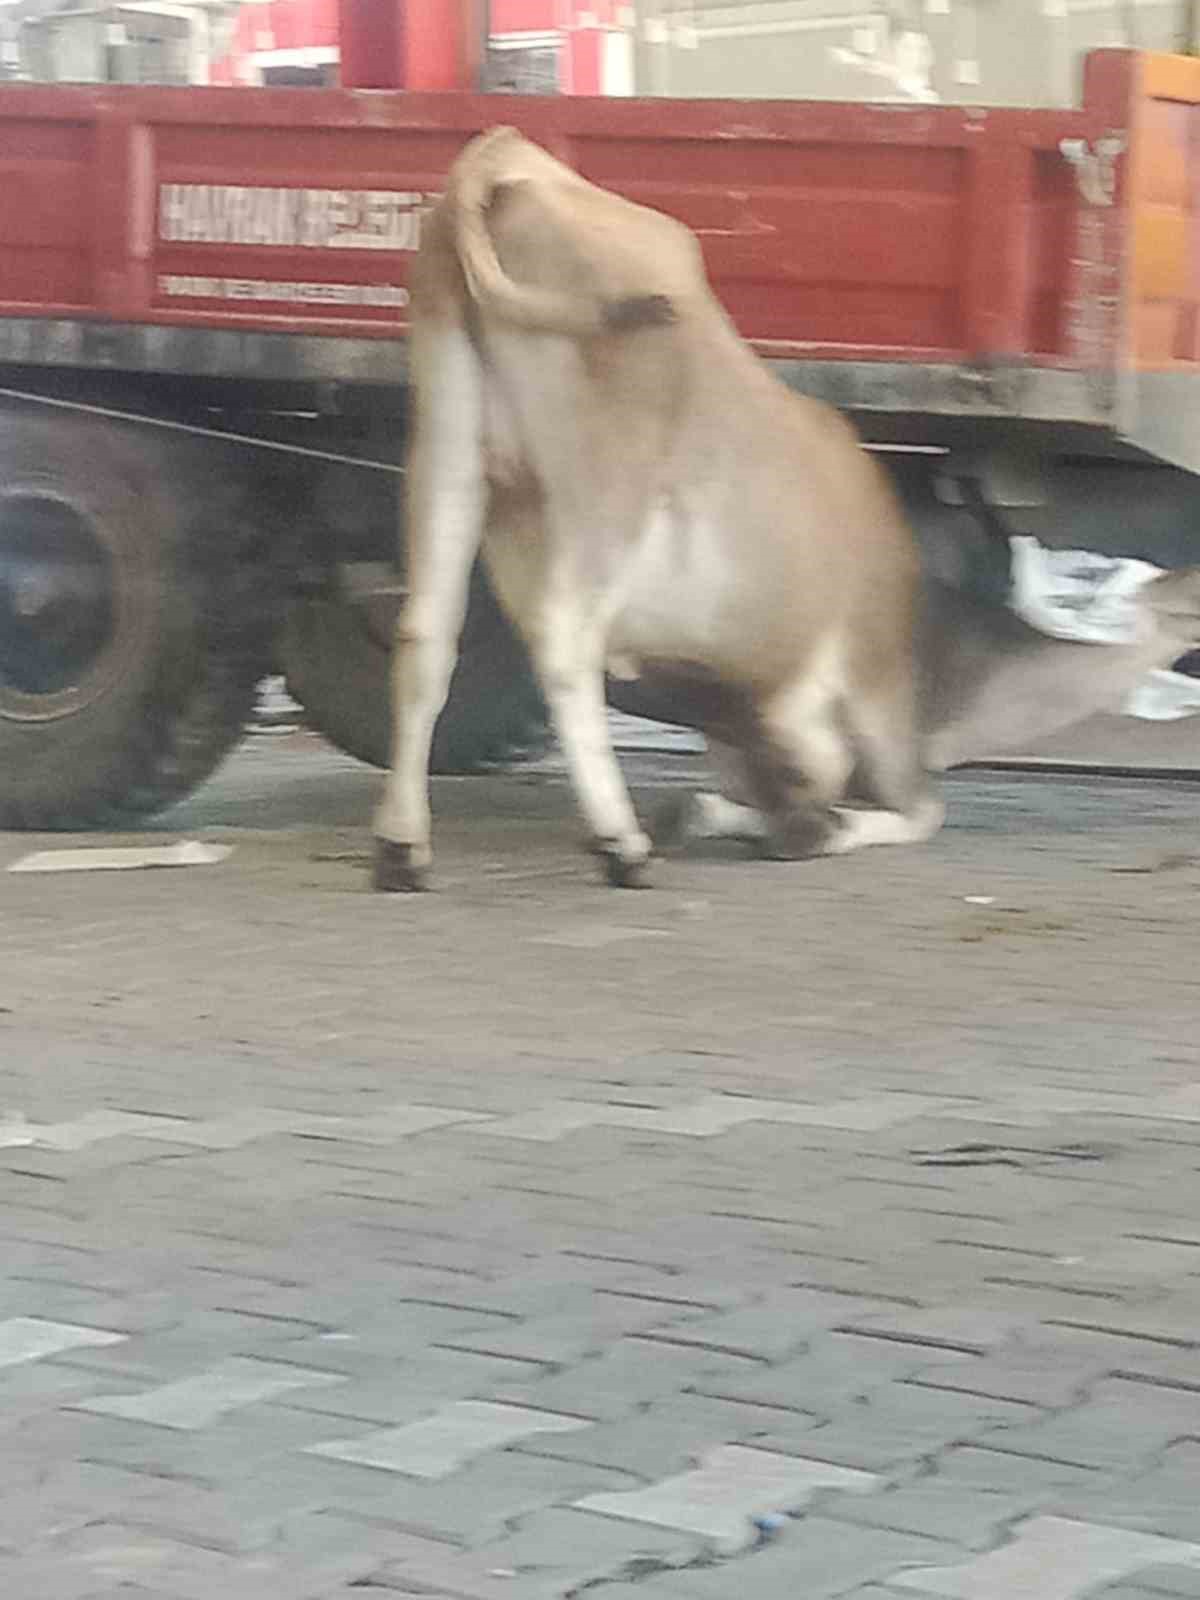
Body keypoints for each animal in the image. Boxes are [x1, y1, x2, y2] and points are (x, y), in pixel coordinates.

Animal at [376, 128, 947, 889]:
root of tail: (507, 157)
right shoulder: (876, 687)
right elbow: (920, 809)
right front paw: (807, 826)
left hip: (449, 449)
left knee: (425, 634)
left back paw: (401, 846)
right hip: (604, 488)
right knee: (563, 641)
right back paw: (622, 844)